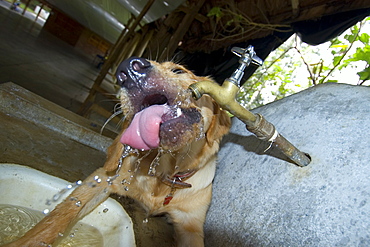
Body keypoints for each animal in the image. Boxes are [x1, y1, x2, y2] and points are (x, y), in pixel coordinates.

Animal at [3, 57, 231, 246]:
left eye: (178, 70)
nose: (128, 69)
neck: (165, 173)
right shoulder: (101, 179)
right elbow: (58, 218)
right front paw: (24, 242)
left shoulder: (191, 225)